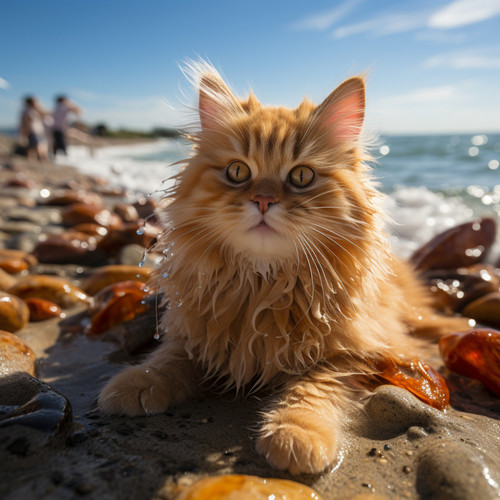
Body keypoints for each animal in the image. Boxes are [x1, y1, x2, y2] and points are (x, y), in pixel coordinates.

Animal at [97, 63, 468, 476]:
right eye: (237, 171)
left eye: (301, 177)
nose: (263, 200)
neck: (263, 283)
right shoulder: (196, 331)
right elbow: (168, 359)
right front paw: (135, 383)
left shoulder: (349, 351)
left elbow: (312, 390)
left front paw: (297, 433)